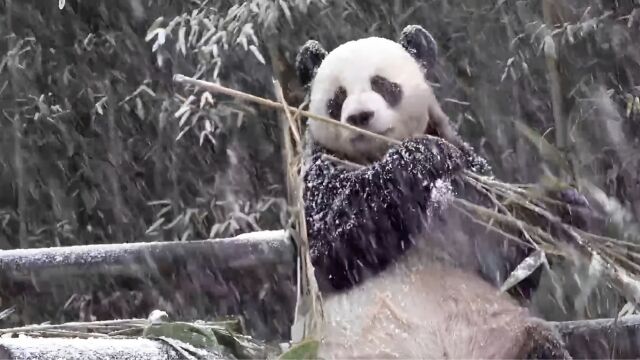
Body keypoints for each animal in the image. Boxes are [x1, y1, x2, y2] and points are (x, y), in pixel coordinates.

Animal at [294, 24, 568, 358]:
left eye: (383, 85)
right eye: (338, 98)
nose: (359, 116)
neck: (375, 155)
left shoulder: (471, 181)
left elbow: (512, 262)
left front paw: (559, 209)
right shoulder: (315, 173)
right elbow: (331, 239)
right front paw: (424, 154)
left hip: (503, 337)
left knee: (542, 343)